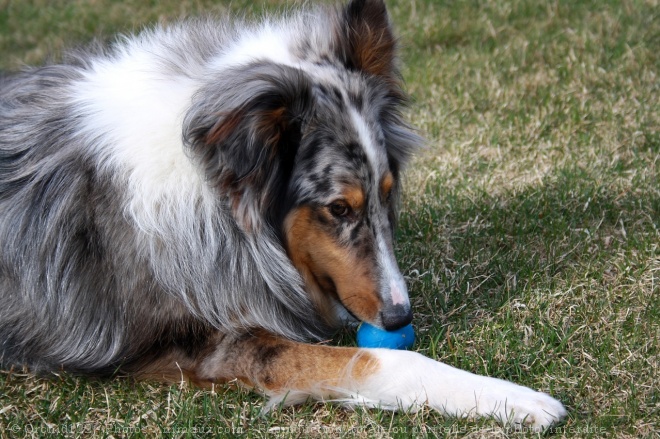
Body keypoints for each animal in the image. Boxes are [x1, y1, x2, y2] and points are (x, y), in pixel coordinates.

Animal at [1, 0, 568, 430]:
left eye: (387, 193)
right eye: (338, 207)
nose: (399, 317)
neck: (213, 189)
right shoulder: (199, 342)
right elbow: (376, 360)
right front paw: (514, 399)